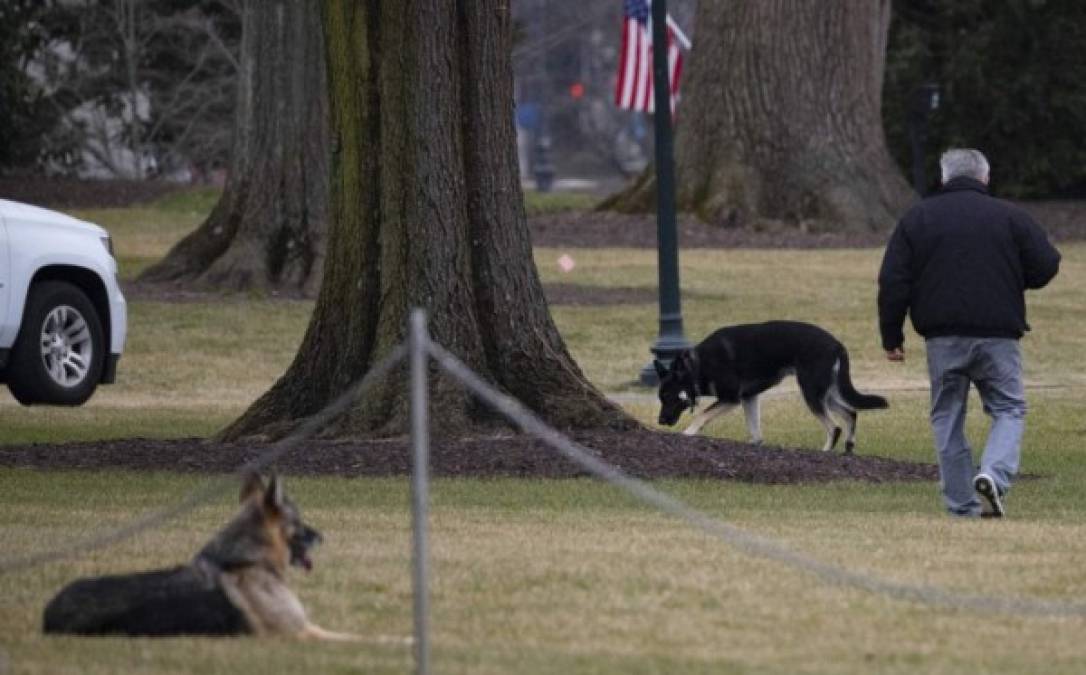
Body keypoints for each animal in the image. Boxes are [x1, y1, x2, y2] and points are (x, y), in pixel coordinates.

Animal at [651, 321, 890, 455]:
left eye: (668, 395)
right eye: (660, 397)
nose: (660, 421)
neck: (698, 365)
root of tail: (837, 344)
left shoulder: (731, 398)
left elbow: (701, 415)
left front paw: (688, 433)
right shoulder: (749, 398)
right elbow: (754, 430)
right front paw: (755, 446)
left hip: (811, 392)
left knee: (834, 427)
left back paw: (825, 452)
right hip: (825, 393)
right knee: (851, 413)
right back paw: (849, 447)